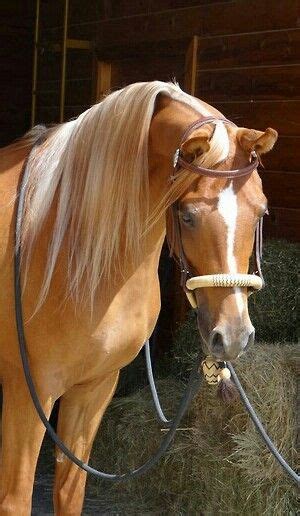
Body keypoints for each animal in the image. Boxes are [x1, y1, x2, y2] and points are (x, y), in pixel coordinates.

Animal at [0, 80, 276, 512]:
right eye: (187, 215)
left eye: (260, 212)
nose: (232, 336)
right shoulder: (29, 396)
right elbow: (15, 500)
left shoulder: (93, 391)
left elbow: (69, 493)